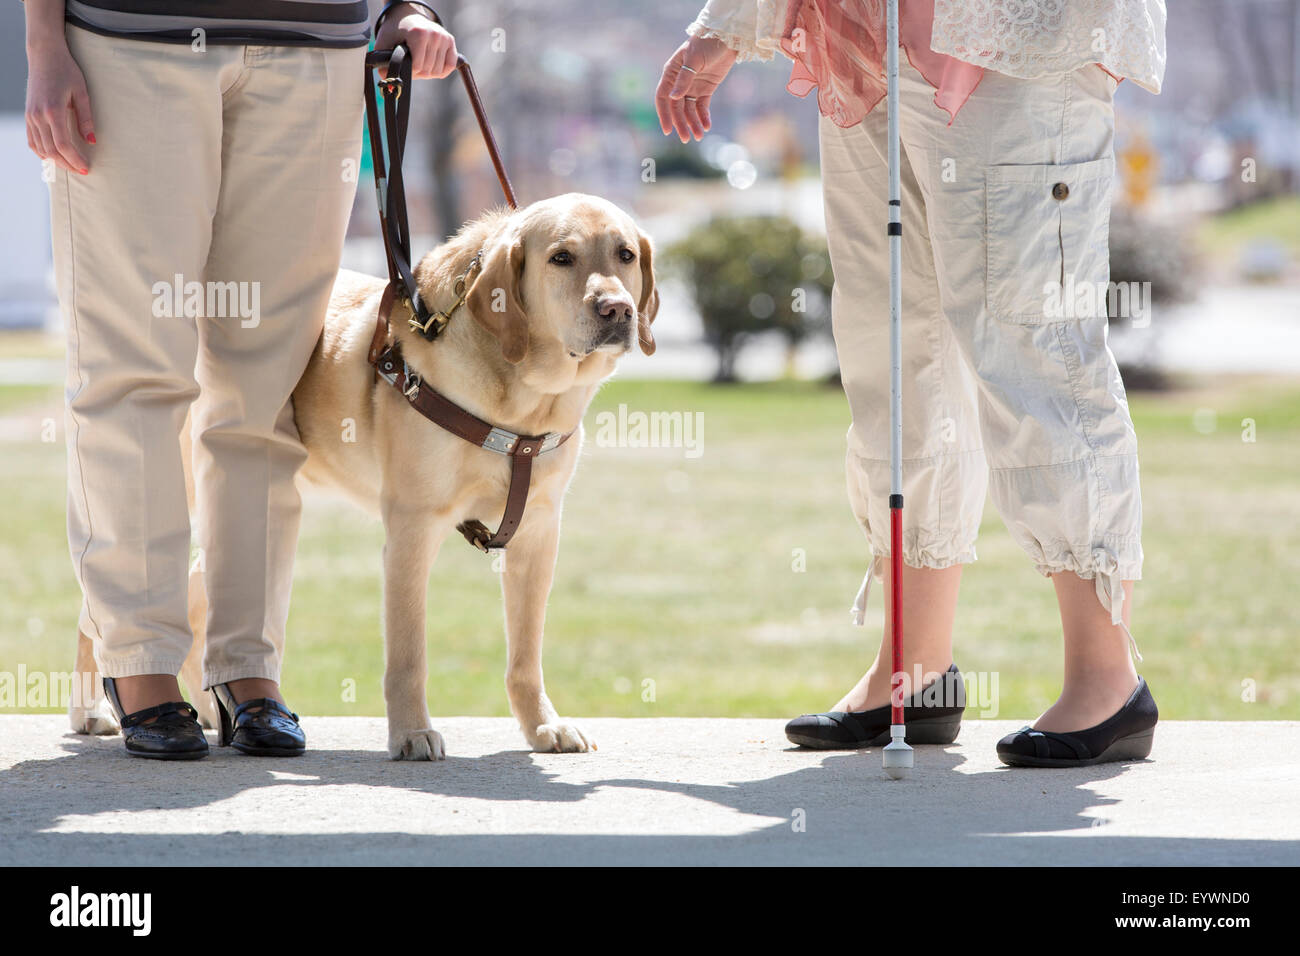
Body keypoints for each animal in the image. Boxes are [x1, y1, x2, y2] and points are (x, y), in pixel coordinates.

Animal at [69, 192, 655, 764]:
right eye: (562, 257)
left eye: (625, 255)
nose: (618, 309)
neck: (526, 397)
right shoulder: (412, 531)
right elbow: (409, 654)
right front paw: (413, 733)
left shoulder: (536, 535)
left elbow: (525, 655)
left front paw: (542, 726)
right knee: (99, 606)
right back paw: (94, 711)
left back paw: (213, 711)